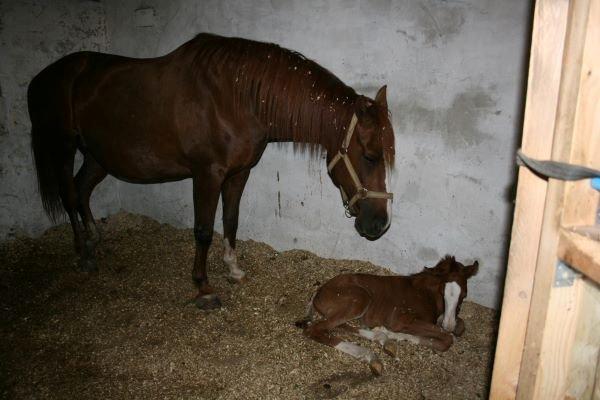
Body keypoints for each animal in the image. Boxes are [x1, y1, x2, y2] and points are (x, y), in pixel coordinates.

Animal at [28, 34, 396, 310]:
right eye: (370, 156)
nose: (379, 224)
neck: (236, 98)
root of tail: (41, 78)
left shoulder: (239, 172)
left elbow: (230, 219)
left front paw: (233, 268)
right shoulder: (207, 174)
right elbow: (203, 229)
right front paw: (203, 287)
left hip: (97, 155)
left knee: (82, 190)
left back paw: (93, 239)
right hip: (62, 147)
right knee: (68, 194)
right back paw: (82, 254)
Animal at [296, 256, 478, 376]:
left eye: (464, 294)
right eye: (442, 291)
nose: (448, 324)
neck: (425, 294)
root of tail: (318, 294)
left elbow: (460, 327)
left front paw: (388, 334)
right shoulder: (400, 319)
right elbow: (446, 339)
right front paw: (395, 334)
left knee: (337, 325)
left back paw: (382, 339)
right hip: (360, 298)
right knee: (315, 329)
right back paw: (370, 355)